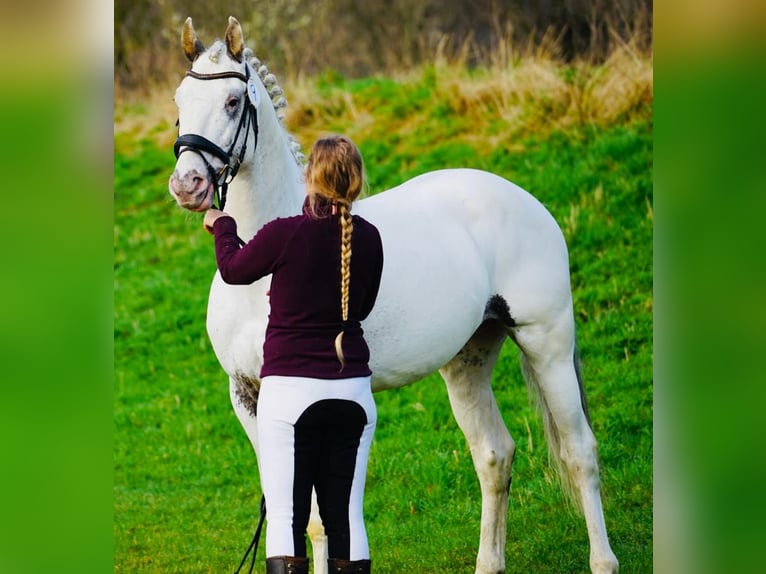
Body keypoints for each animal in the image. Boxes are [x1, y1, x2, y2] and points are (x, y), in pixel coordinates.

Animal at [170, 15, 624, 574]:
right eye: (179, 100)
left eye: (234, 101)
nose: (187, 184)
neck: (265, 272)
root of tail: (521, 197)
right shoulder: (248, 398)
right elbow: (296, 513)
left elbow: (323, 517)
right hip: (468, 360)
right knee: (495, 456)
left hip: (548, 346)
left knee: (580, 453)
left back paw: (603, 560)